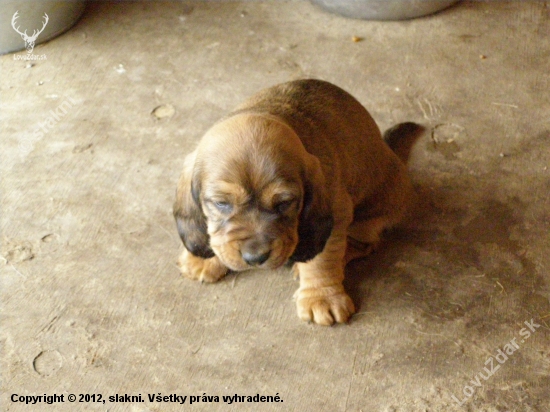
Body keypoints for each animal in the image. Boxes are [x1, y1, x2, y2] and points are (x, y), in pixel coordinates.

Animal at [175, 79, 424, 326]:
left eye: (284, 202)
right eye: (221, 203)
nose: (255, 258)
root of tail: (392, 153)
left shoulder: (335, 215)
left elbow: (323, 259)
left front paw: (322, 297)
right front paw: (205, 259)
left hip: (366, 221)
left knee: (363, 245)